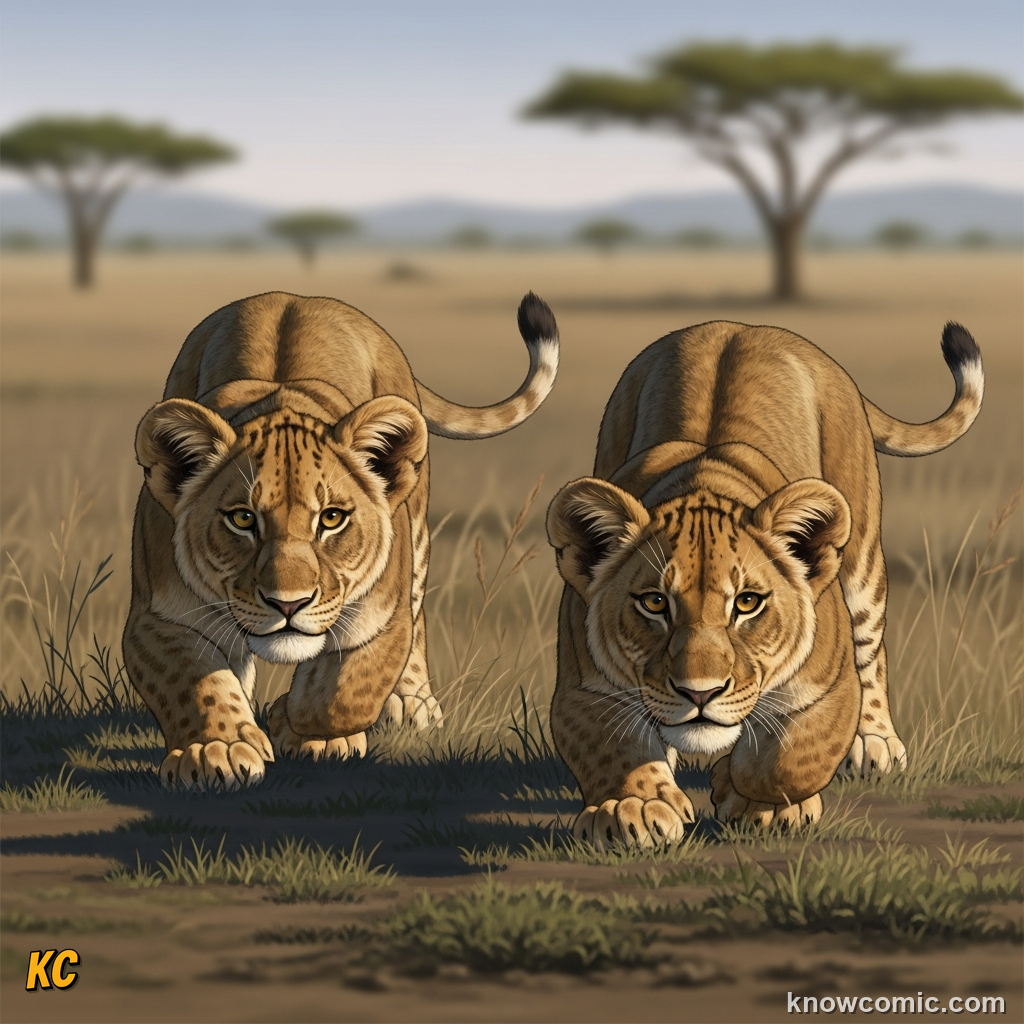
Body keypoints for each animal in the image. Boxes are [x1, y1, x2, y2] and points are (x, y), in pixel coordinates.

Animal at [124, 290, 558, 789]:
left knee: (417, 616)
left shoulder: (382, 617)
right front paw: (219, 749)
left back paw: (412, 705)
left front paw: (296, 725)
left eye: (332, 519)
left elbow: (347, 691)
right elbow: (194, 684)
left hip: (418, 532)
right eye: (242, 519)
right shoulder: (158, 617)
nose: (288, 604)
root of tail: (295, 297)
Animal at [546, 320, 983, 846]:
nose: (699, 694)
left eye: (747, 603)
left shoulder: (829, 687)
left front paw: (754, 800)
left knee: (872, 651)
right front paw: (636, 807)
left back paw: (875, 744)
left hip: (862, 559)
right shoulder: (585, 688)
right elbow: (611, 749)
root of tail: (739, 325)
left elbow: (793, 754)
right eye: (653, 603)